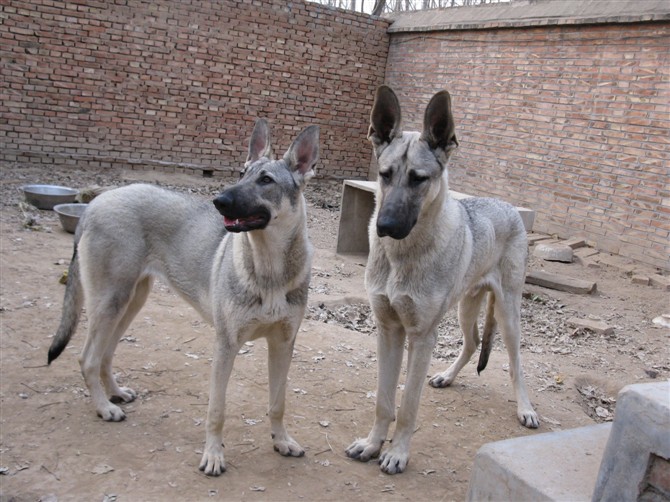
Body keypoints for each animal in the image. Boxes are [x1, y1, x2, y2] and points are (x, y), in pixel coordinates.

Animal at [48, 119, 320, 476]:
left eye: (265, 180)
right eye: (242, 172)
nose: (219, 200)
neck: (269, 269)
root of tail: (95, 203)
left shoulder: (283, 345)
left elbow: (278, 403)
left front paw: (282, 441)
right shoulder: (226, 346)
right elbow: (216, 410)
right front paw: (214, 455)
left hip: (130, 303)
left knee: (105, 355)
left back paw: (116, 394)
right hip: (110, 304)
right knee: (87, 359)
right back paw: (105, 407)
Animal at [346, 85, 540, 474]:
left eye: (418, 179)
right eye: (385, 174)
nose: (385, 226)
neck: (402, 257)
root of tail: (509, 206)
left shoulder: (421, 337)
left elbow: (407, 406)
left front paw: (397, 453)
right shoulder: (388, 331)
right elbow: (384, 401)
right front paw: (372, 444)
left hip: (508, 314)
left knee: (515, 363)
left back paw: (525, 408)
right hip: (467, 306)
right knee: (472, 342)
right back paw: (447, 376)